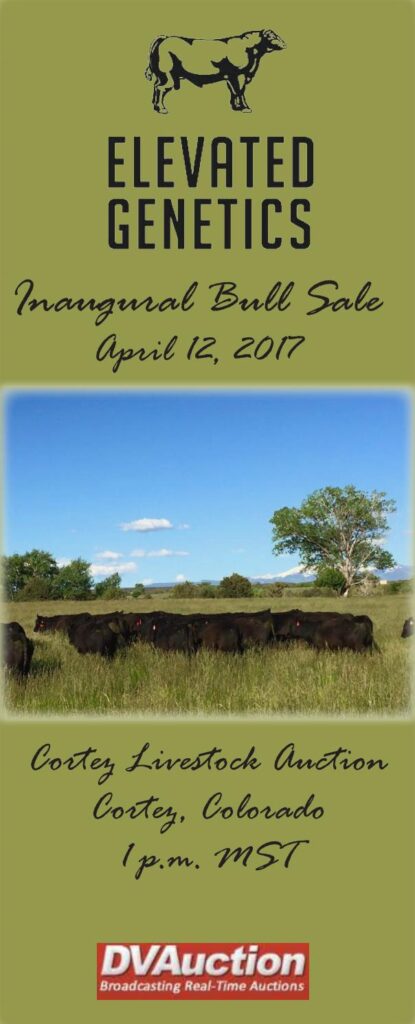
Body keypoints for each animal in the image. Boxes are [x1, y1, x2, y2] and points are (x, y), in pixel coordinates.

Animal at [145, 30, 286, 113]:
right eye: (271, 36)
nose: (284, 44)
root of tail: (165, 38)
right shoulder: (239, 74)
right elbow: (240, 91)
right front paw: (245, 108)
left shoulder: (230, 77)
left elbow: (233, 91)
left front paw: (236, 107)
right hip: (167, 75)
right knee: (160, 88)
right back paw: (161, 109)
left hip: (162, 76)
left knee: (156, 86)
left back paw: (156, 106)